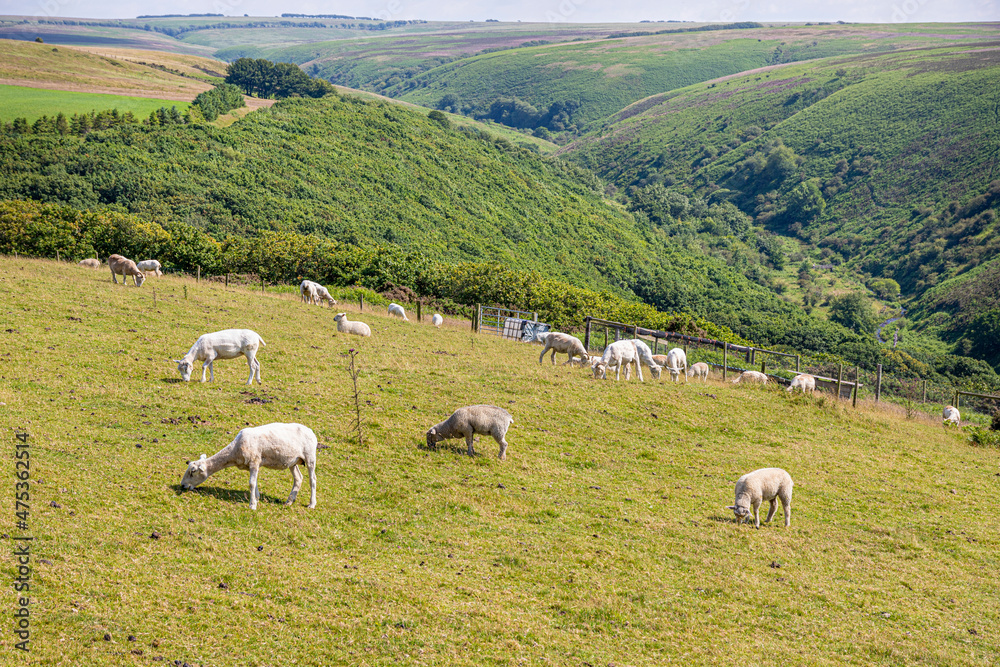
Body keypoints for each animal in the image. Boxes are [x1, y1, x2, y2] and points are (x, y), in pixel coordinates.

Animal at [180, 422, 317, 510]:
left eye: (192, 472)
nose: (182, 485)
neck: (234, 452)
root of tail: (311, 432)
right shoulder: (252, 465)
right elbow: (254, 482)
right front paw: (256, 498)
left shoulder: (254, 461)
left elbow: (251, 483)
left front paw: (252, 505)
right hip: (293, 460)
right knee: (298, 478)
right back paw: (289, 501)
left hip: (310, 456)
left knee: (312, 480)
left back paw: (311, 504)